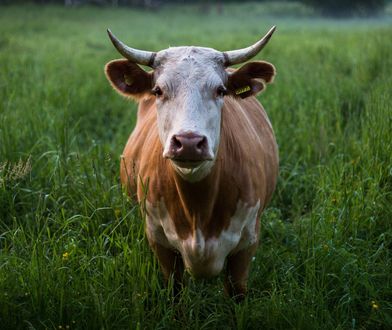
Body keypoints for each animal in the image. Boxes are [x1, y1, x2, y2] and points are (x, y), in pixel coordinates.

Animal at [104, 27, 278, 302]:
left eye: (220, 90)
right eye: (158, 90)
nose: (188, 142)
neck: (198, 209)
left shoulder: (247, 246)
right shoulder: (160, 244)